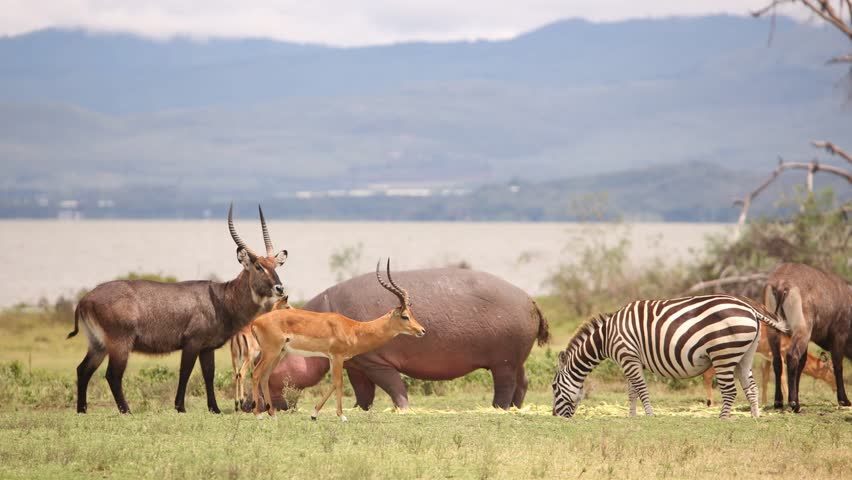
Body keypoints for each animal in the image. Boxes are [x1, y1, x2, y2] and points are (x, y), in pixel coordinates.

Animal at [263, 267, 549, 410]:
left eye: (267, 358)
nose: (253, 403)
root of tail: (530, 298)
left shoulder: (375, 362)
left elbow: (393, 386)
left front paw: (402, 409)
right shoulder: (356, 364)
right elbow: (363, 392)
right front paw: (359, 410)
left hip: (503, 363)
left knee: (505, 385)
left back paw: (498, 408)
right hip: (516, 360)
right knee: (523, 381)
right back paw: (516, 408)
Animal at [551, 294, 789, 419]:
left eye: (554, 387)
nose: (555, 415)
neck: (607, 336)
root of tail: (751, 309)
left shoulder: (628, 357)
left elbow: (641, 389)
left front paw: (649, 415)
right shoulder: (629, 360)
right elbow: (631, 391)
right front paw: (631, 416)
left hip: (723, 354)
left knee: (730, 391)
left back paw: (723, 419)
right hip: (745, 354)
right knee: (751, 387)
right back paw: (755, 417)